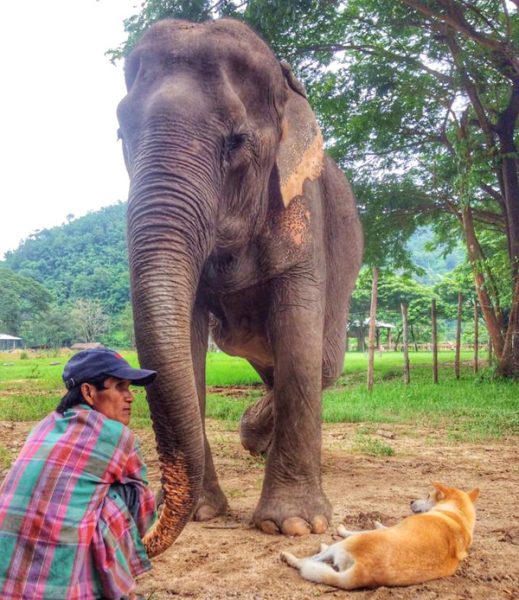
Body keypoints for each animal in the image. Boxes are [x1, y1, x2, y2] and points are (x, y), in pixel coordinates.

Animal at [117, 17, 362, 556]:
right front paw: (205, 514)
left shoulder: (303, 210)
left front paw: (294, 526)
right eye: (121, 132)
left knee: (323, 363)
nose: (145, 532)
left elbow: (300, 338)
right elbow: (186, 340)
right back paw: (255, 440)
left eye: (236, 142)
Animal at [282, 482, 482, 592]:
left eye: (427, 495)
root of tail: (363, 571)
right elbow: (382, 525)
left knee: (309, 560)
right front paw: (378, 522)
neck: (457, 514)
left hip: (343, 545)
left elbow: (357, 530)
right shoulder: (394, 528)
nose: (410, 501)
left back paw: (290, 557)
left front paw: (342, 528)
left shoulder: (391, 528)